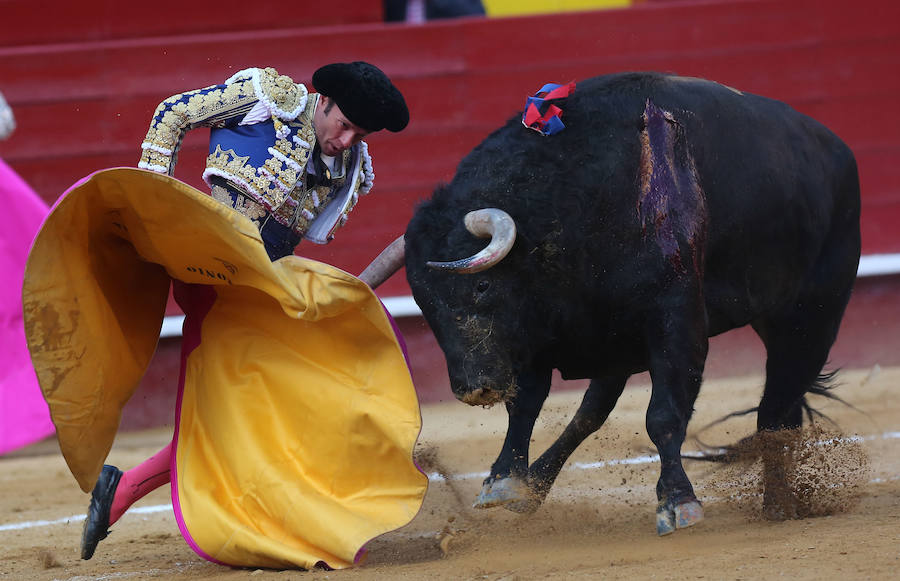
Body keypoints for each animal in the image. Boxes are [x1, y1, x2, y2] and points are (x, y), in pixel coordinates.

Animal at [358, 72, 856, 536]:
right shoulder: (545, 334)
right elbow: (527, 406)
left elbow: (664, 415)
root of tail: (836, 150)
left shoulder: (676, 323)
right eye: (422, 301)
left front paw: (677, 503)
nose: (473, 388)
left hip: (812, 316)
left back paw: (779, 504)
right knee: (593, 411)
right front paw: (504, 483)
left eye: (480, 286)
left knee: (776, 408)